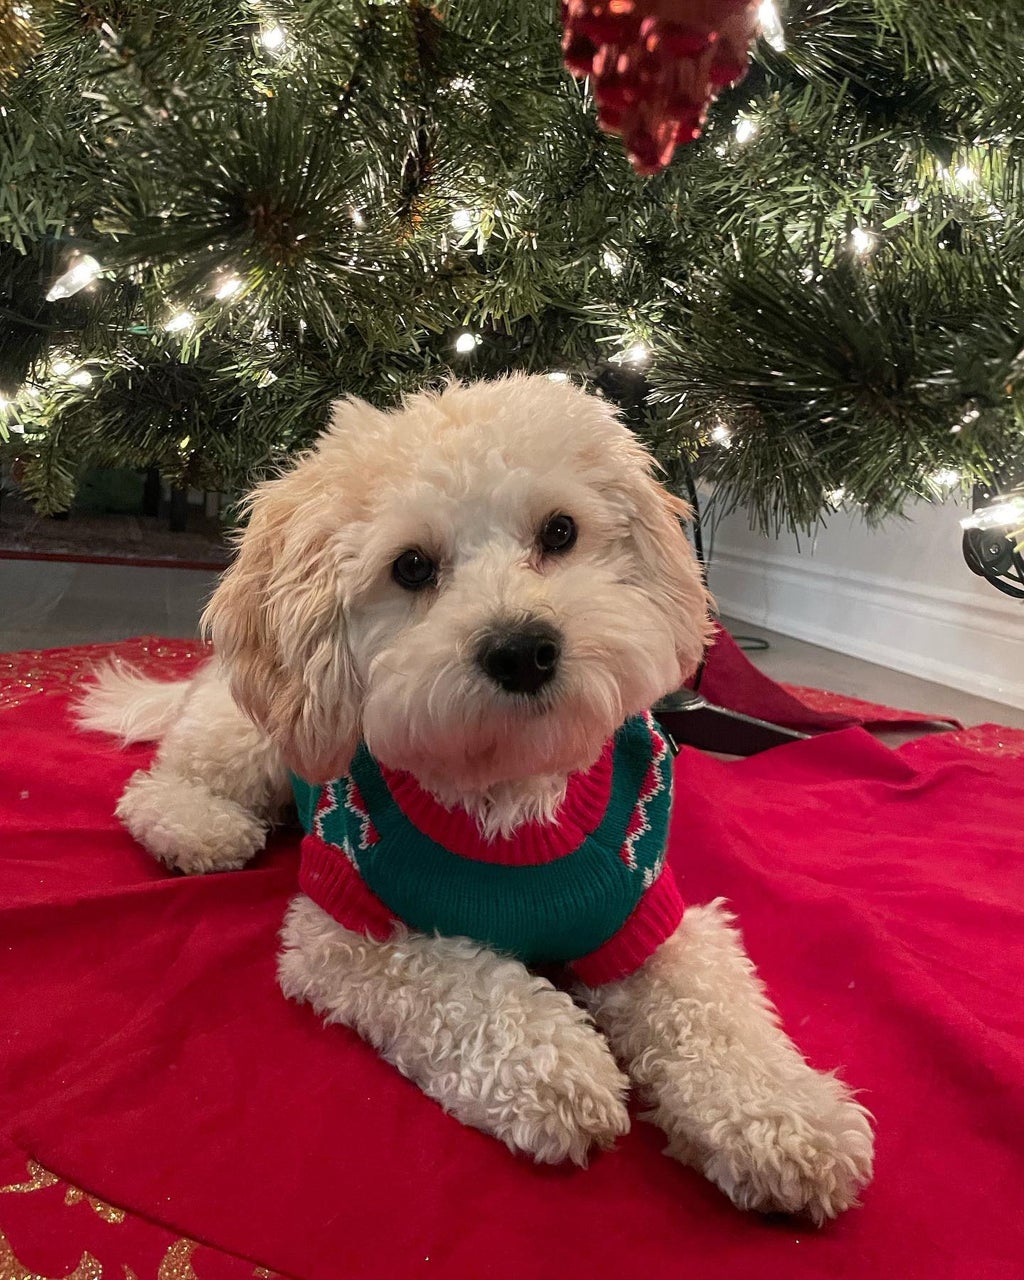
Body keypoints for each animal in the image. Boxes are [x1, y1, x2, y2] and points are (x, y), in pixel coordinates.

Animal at [83, 373, 875, 1218]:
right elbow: (467, 984)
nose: (522, 649)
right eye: (411, 567)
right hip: (251, 740)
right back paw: (195, 826)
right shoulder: (345, 934)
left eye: (560, 531)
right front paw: (558, 1063)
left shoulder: (649, 918)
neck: (509, 797)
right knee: (159, 784)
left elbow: (713, 1008)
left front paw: (782, 1113)